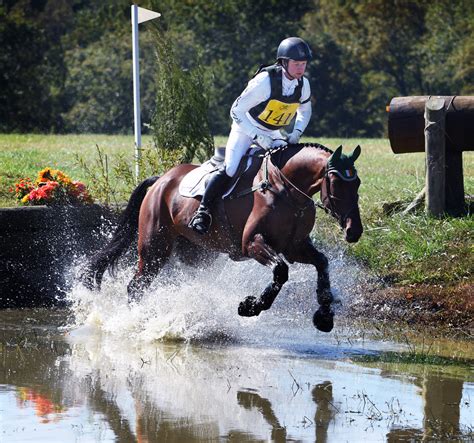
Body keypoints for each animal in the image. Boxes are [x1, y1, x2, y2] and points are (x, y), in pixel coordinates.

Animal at [81, 142, 362, 332]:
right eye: (336, 183)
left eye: (357, 183)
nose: (354, 231)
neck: (286, 190)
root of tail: (161, 180)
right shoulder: (253, 243)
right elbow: (280, 271)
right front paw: (250, 306)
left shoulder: (295, 247)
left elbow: (322, 263)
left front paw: (324, 316)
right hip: (154, 248)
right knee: (136, 286)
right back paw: (138, 323)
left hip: (198, 253)